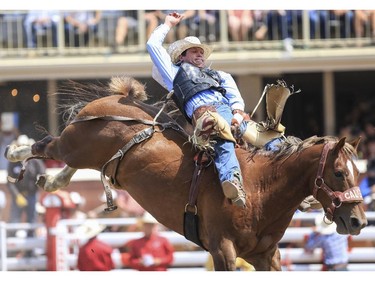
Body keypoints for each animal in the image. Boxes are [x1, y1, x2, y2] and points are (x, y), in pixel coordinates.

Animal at [5, 76, 368, 270]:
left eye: (357, 171)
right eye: (339, 172)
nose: (358, 222)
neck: (262, 188)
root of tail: (112, 102)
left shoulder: (266, 255)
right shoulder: (223, 250)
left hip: (93, 157)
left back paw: (51, 179)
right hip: (74, 145)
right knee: (47, 144)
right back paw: (15, 154)